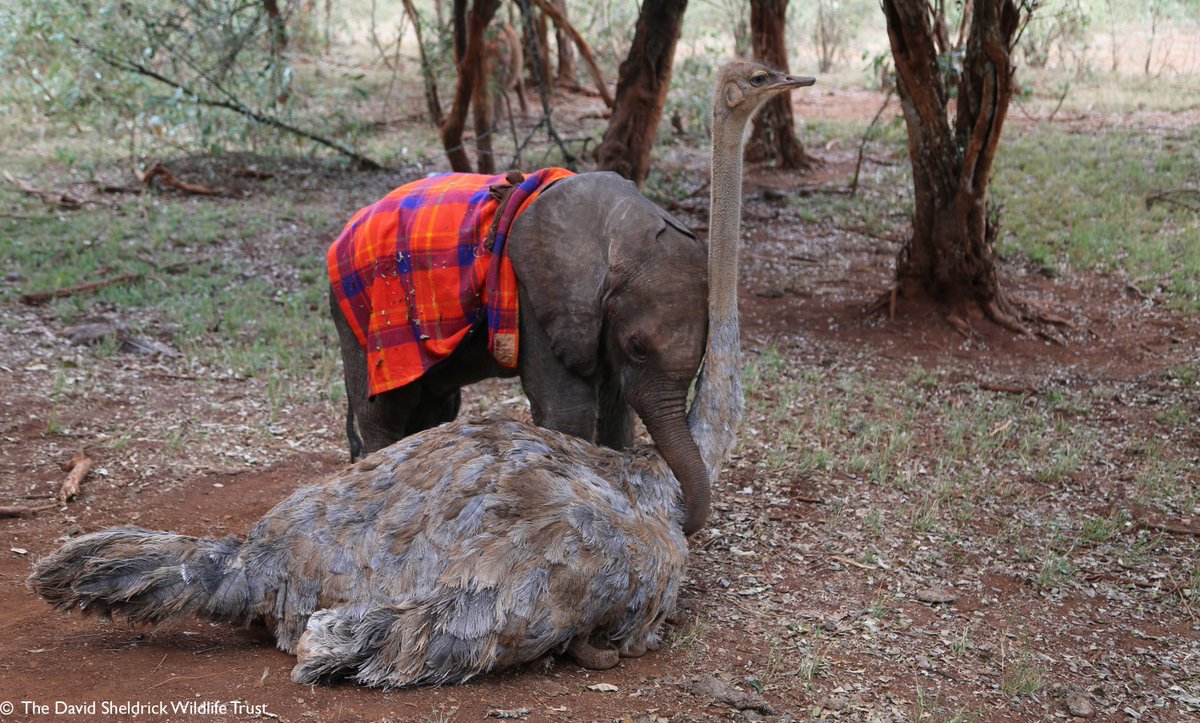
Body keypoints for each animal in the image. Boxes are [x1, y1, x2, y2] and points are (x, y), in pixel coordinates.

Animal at [331, 172, 709, 489]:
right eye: (637, 348)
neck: (621, 227)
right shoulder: (537, 295)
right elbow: (568, 408)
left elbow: (616, 406)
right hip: (363, 318)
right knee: (387, 411)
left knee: (434, 406)